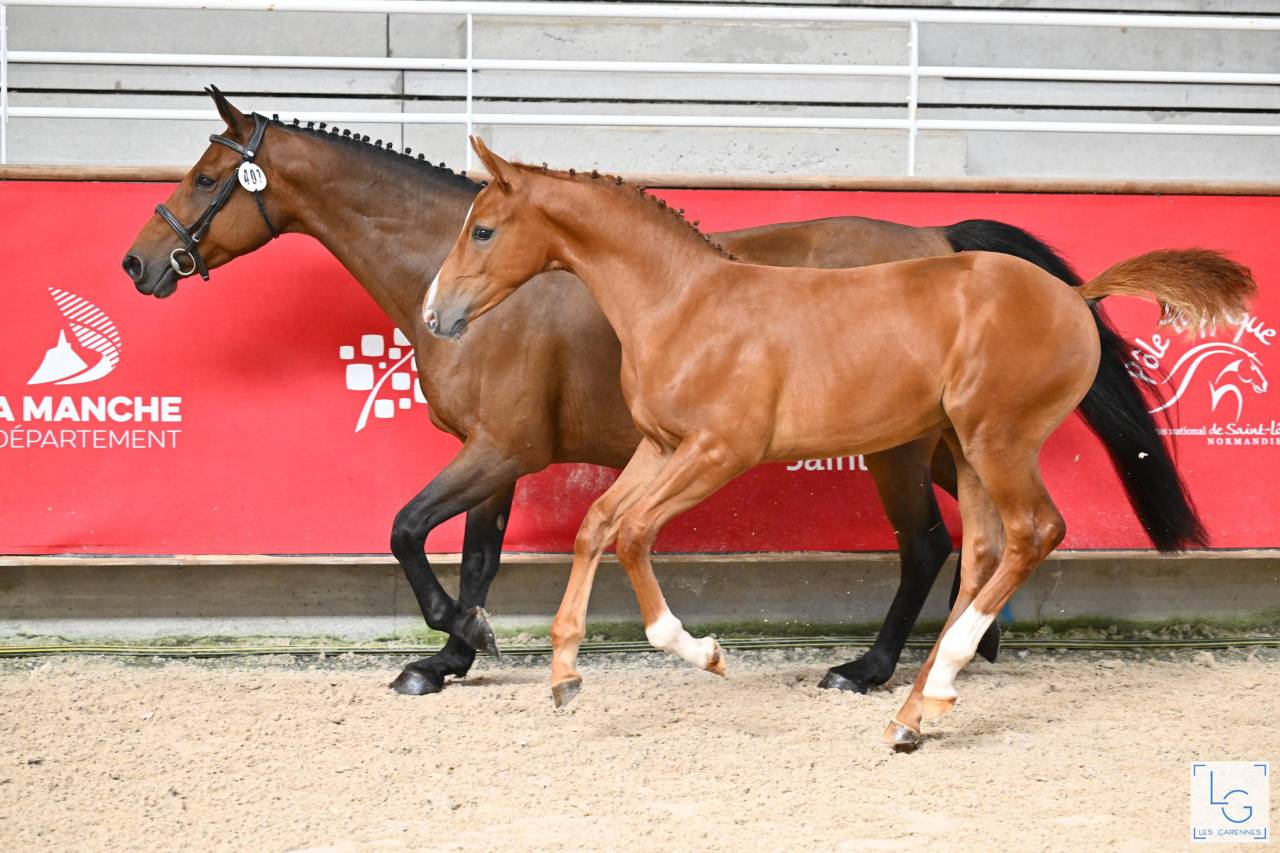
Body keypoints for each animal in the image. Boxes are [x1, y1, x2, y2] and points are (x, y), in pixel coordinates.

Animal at [122, 87, 1197, 700]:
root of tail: (941, 239)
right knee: (980, 530)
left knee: (931, 540)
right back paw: (975, 643)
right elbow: (471, 554)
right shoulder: (502, 457)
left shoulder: (499, 449)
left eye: (209, 174)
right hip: (933, 434)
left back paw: (875, 668)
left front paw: (458, 638)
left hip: (897, 447)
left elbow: (405, 530)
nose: (139, 264)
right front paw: (451, 656)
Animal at [427, 138, 1254, 747]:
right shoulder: (661, 446)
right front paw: (565, 675)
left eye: (484, 229)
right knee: (983, 551)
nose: (438, 314)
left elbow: (631, 533)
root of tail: (1073, 296)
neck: (684, 303)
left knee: (1032, 533)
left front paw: (704, 652)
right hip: (966, 446)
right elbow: (597, 524)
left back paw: (922, 684)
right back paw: (914, 712)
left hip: (997, 439)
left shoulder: (718, 450)